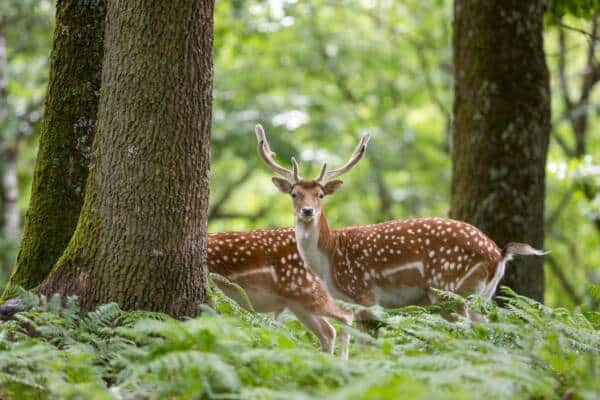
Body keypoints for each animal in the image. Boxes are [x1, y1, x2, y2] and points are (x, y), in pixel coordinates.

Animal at [253, 125, 548, 322]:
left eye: (321, 195)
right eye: (294, 194)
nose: (307, 211)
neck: (328, 258)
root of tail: (499, 252)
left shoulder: (364, 294)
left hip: (451, 289)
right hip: (482, 295)